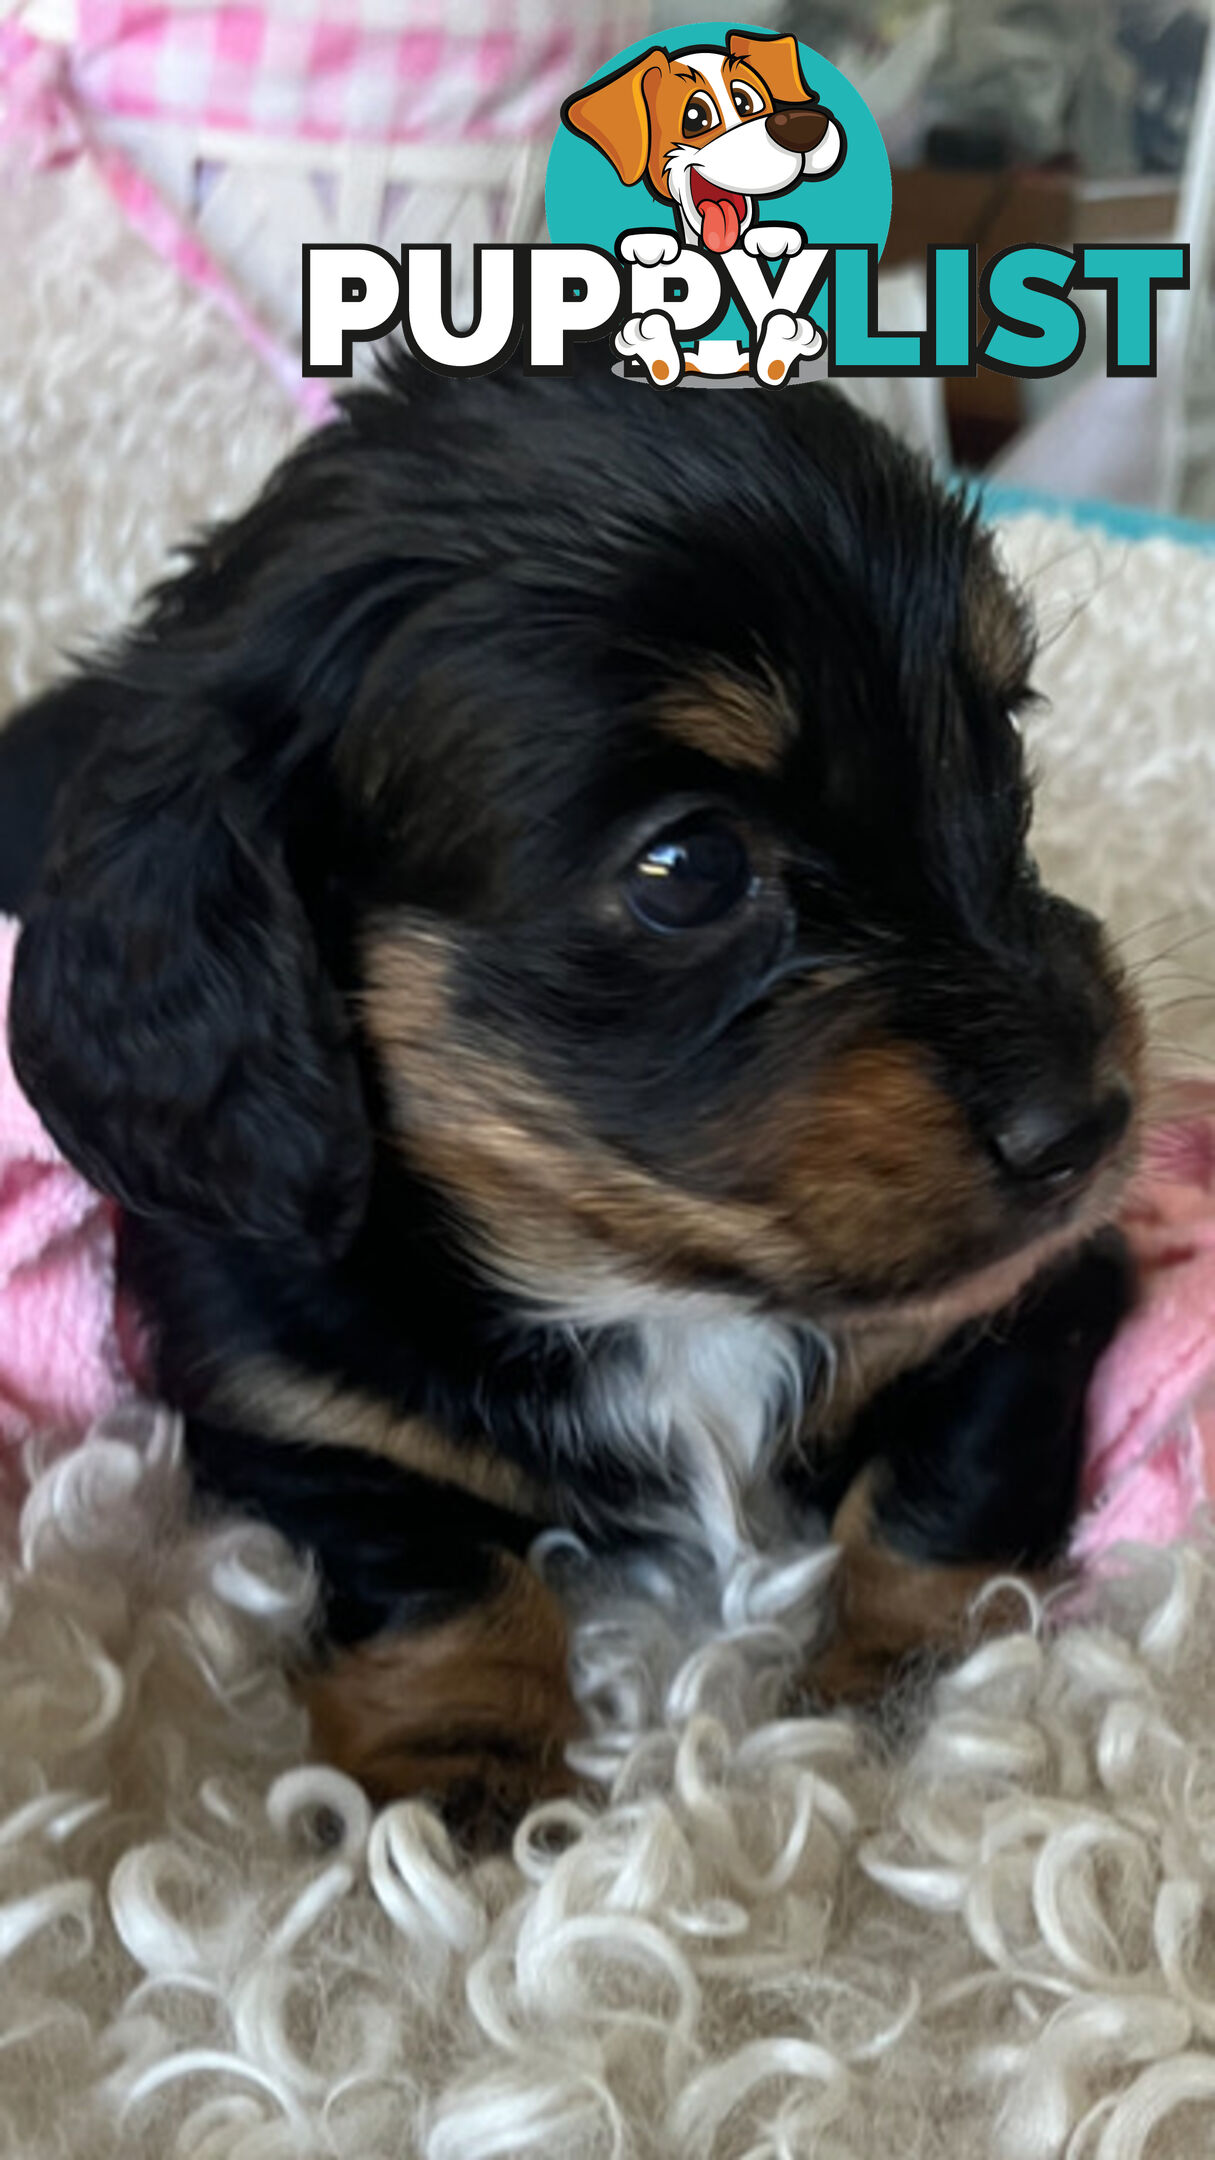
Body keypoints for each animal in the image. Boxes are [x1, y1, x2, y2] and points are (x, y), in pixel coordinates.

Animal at [0, 358, 1132, 1840]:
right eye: (690, 867)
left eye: (995, 735)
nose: (1092, 1126)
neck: (639, 1277)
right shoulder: (282, 1397)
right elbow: (432, 1567)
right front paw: (459, 1782)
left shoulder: (1029, 1298)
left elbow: (943, 1495)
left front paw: (914, 1700)